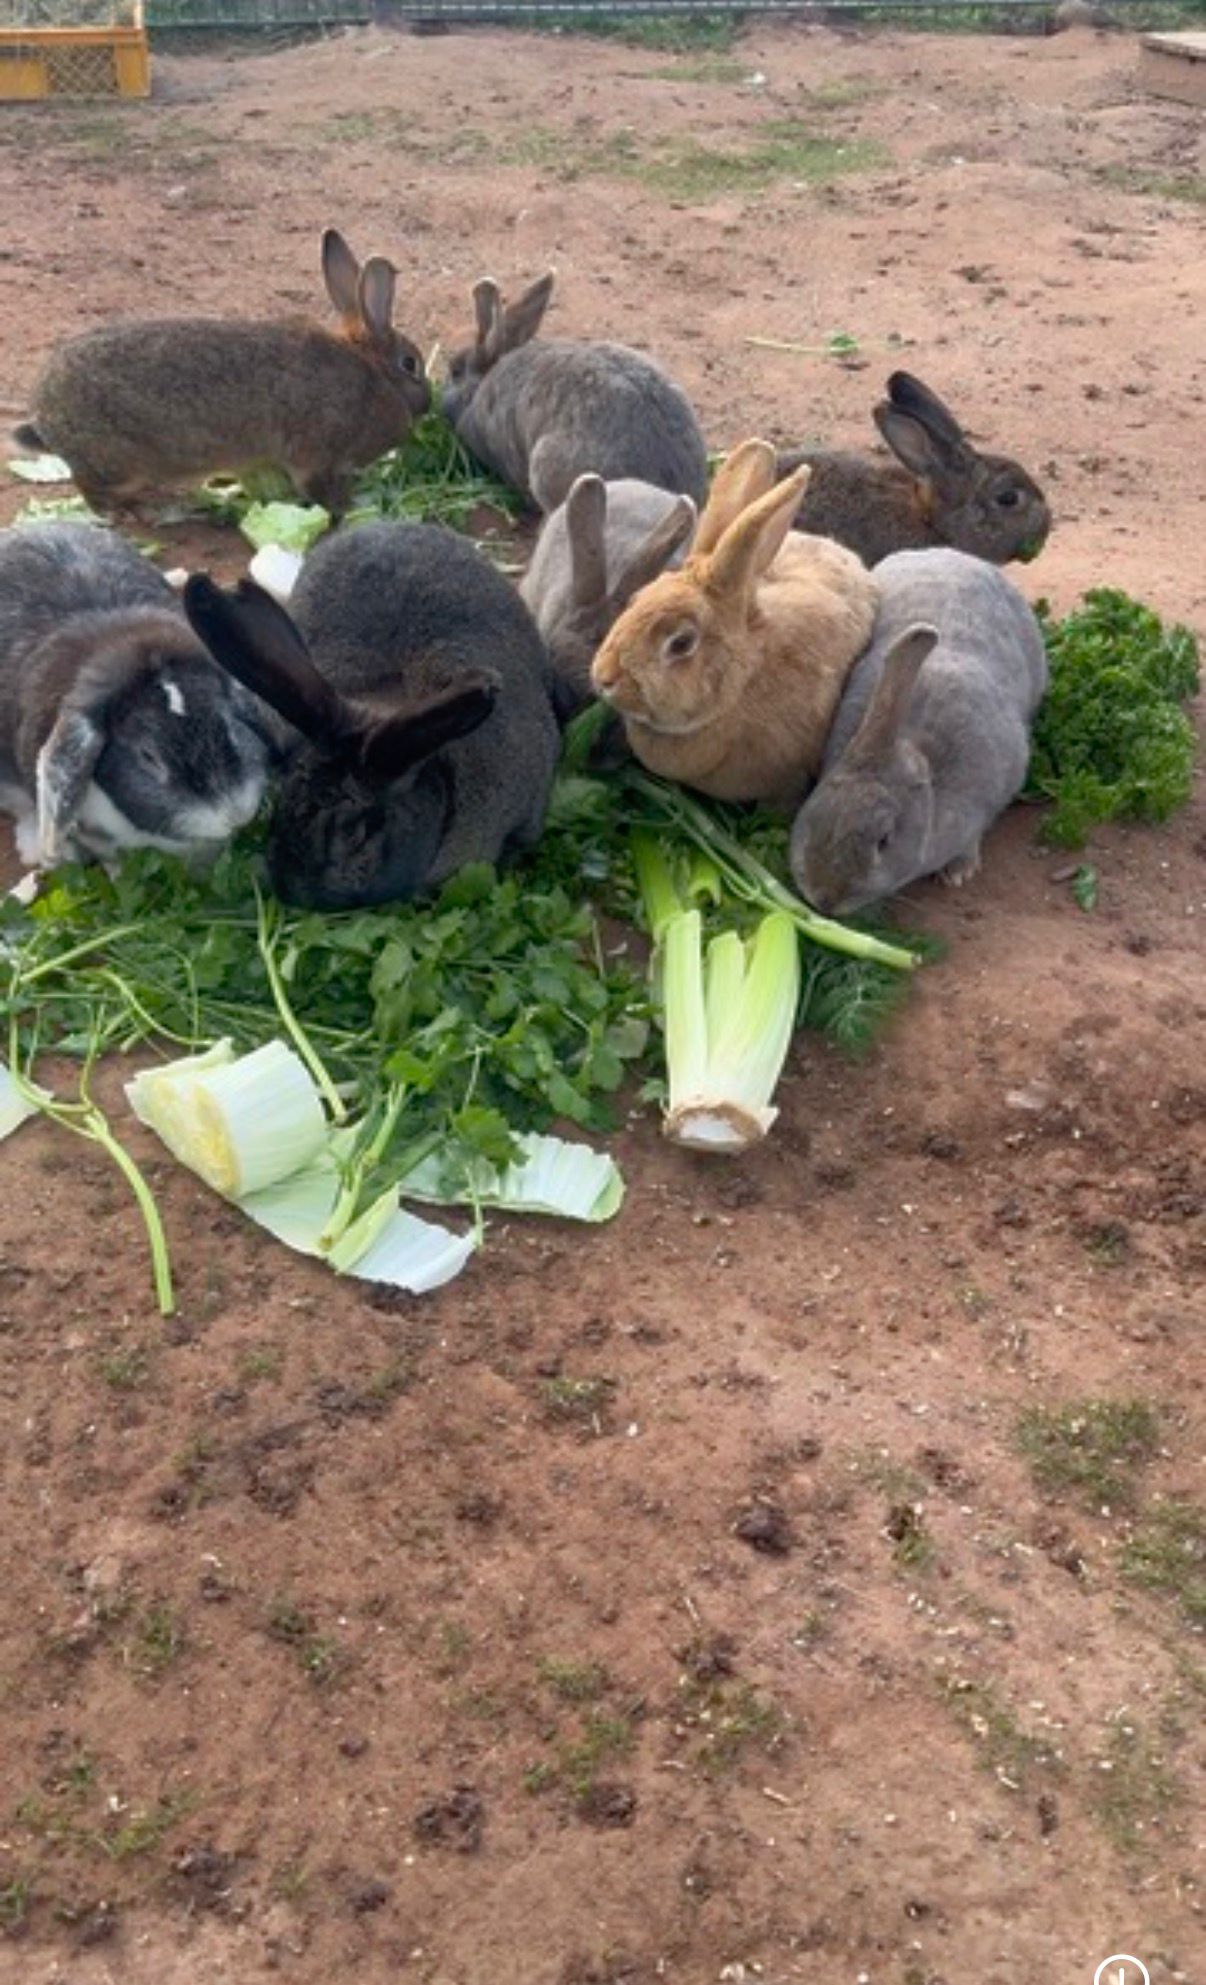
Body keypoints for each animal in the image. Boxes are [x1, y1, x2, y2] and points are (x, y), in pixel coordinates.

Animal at [14, 230, 430, 519]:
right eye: (410, 363)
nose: (428, 403)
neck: (372, 372)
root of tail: (46, 419)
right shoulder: (317, 453)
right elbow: (317, 489)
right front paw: (348, 507)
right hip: (118, 462)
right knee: (89, 486)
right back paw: (124, 512)